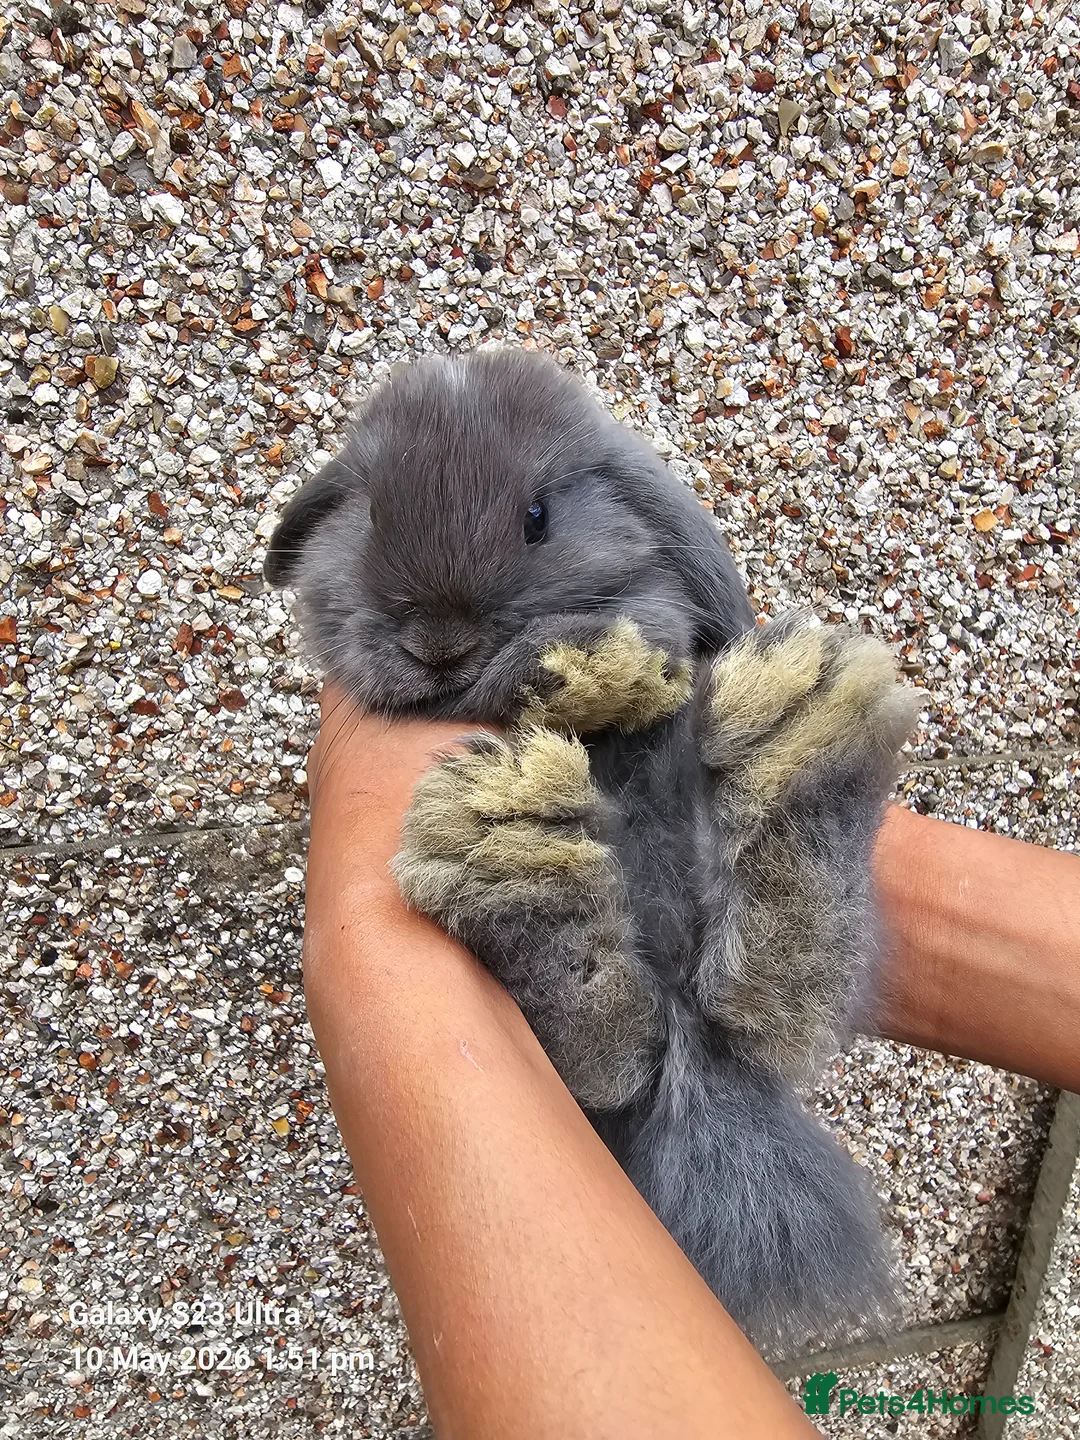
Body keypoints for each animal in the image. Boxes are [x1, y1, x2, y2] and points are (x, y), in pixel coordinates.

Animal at [264, 346, 918, 1357]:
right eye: (369, 514)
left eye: (537, 517)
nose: (438, 648)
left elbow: (639, 635)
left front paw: (590, 670)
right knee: (615, 1056)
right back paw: (520, 859)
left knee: (765, 1005)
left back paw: (807, 736)